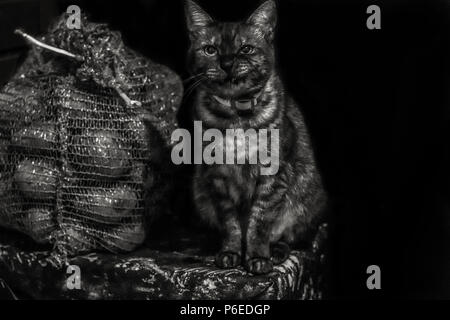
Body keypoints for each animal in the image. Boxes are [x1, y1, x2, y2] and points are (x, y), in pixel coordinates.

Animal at [184, 0, 326, 276]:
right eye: (210, 49)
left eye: (246, 48)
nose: (227, 63)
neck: (236, 116)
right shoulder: (216, 176)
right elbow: (230, 223)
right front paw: (230, 253)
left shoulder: (273, 175)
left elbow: (260, 222)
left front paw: (258, 258)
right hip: (198, 190)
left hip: (307, 193)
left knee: (295, 237)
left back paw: (278, 251)